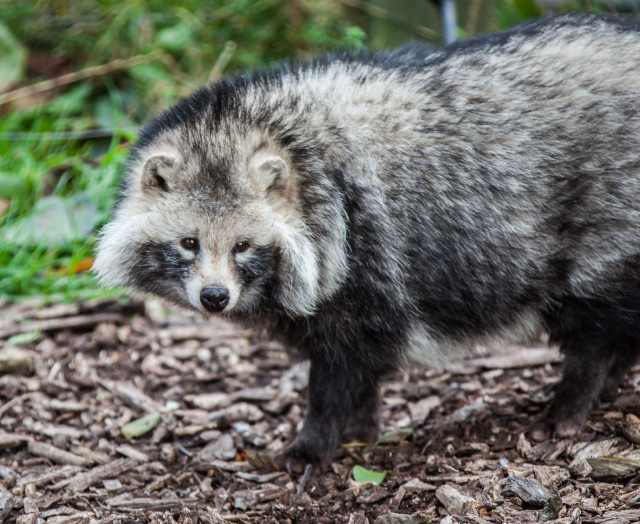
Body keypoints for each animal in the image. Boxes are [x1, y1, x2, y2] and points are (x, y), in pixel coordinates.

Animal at [95, 13, 640, 469]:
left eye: (243, 245)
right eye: (189, 242)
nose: (214, 297)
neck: (294, 147)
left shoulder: (363, 260)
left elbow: (338, 373)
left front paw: (314, 443)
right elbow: (363, 370)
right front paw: (361, 429)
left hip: (606, 228)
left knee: (591, 328)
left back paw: (575, 399)